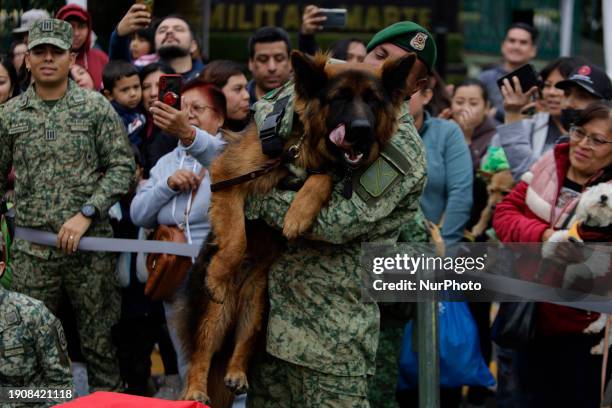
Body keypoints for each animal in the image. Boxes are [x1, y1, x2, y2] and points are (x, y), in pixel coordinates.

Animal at [182, 48, 418, 404]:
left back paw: (237, 372)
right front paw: (219, 274)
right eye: (339, 98)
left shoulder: (324, 171)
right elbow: (236, 239)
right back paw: (195, 389)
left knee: (244, 342)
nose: (361, 130)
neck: (303, 147)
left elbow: (321, 179)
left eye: (373, 101)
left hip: (257, 304)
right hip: (216, 314)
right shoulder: (229, 177)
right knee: (202, 351)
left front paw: (297, 214)